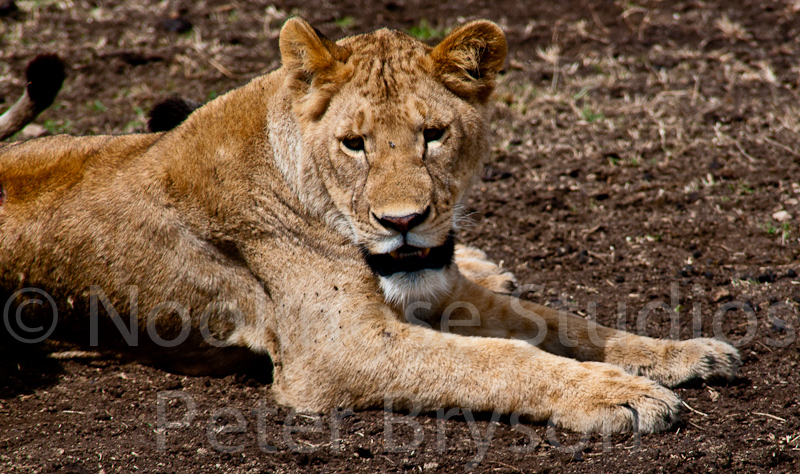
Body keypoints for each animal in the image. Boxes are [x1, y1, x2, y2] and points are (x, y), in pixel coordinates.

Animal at [0, 18, 739, 435]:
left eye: (433, 135)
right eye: (354, 144)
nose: (404, 222)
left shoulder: (439, 290)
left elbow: (563, 323)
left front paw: (683, 352)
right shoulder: (341, 349)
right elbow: (500, 358)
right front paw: (618, 395)